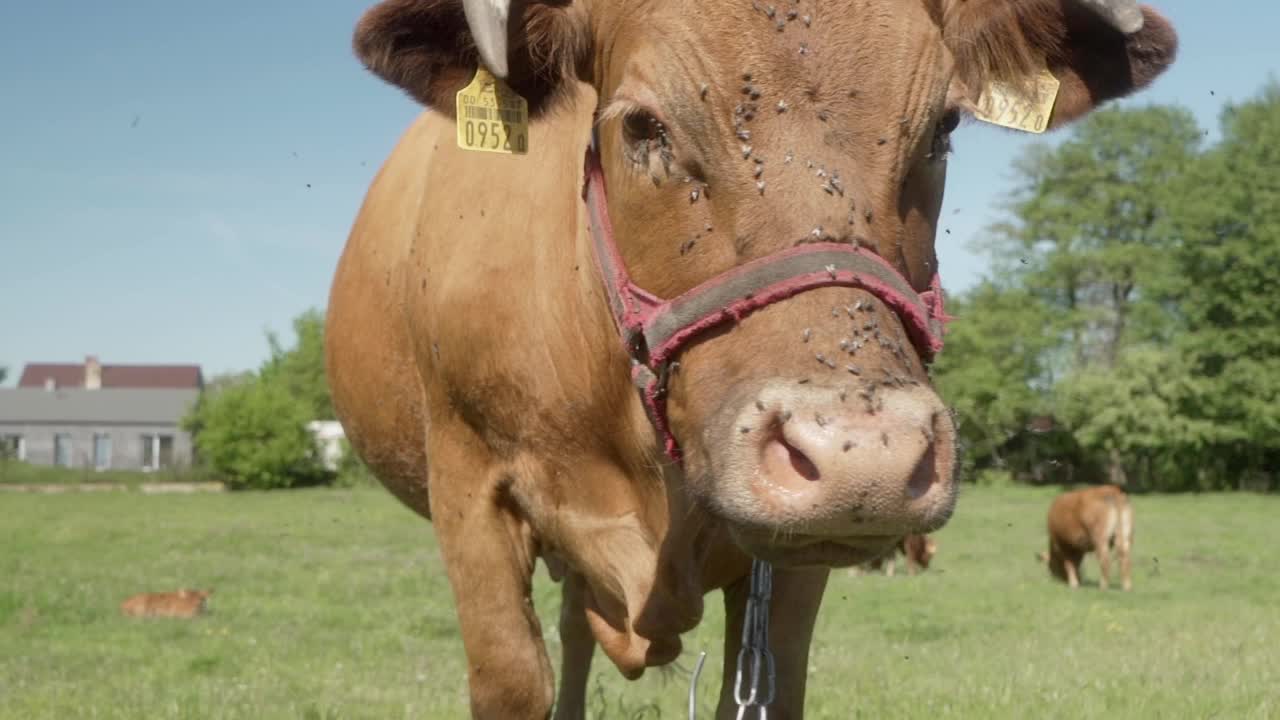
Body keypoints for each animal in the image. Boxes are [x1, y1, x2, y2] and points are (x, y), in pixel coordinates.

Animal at [325, 2, 1172, 712]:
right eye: (643, 127)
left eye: (943, 128)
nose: (864, 457)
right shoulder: (470, 491)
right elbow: (514, 680)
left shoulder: (791, 572)